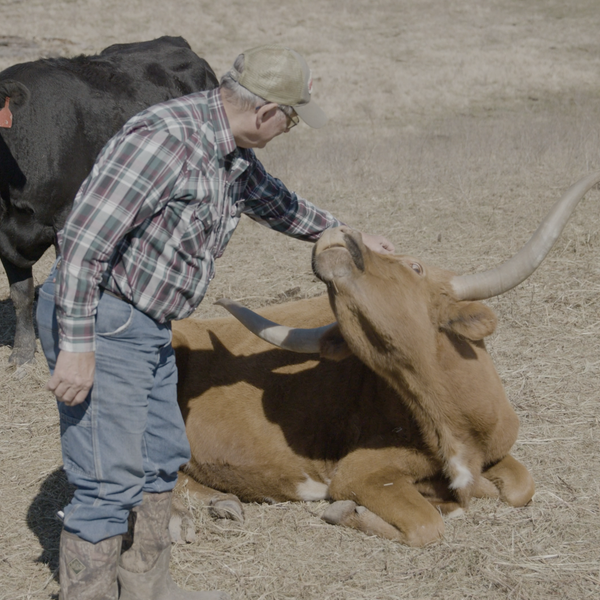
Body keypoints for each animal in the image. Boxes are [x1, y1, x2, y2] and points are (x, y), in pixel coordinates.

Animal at [170, 170, 600, 548]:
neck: (449, 422)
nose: (336, 233)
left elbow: (520, 488)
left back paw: (222, 502)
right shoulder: (360, 471)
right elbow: (427, 524)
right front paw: (348, 511)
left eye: (415, 266)